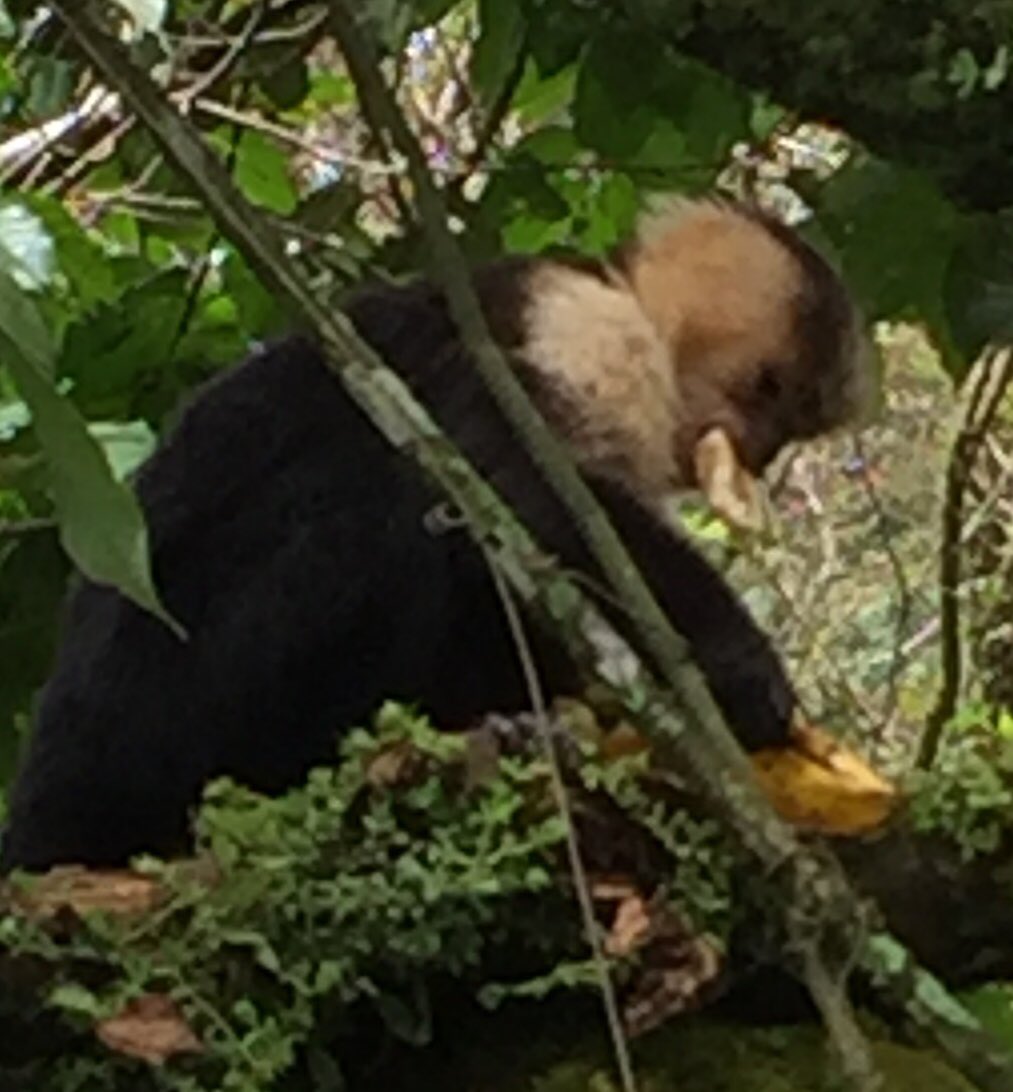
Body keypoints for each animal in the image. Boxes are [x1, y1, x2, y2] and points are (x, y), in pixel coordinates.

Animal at [0, 197, 869, 874]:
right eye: (771, 392)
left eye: (795, 423)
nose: (760, 455)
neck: (620, 297)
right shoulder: (578, 325)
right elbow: (506, 483)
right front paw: (741, 670)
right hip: (194, 698)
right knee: (391, 511)